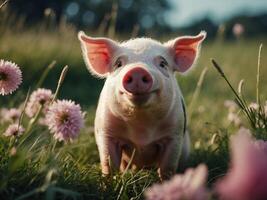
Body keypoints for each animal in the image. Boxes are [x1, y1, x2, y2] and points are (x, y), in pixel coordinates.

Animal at [78, 31, 207, 180]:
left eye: (163, 63)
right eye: (118, 63)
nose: (138, 70)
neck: (141, 127)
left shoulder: (174, 133)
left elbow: (167, 167)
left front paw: (165, 182)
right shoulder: (106, 131)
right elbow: (109, 165)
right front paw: (110, 182)